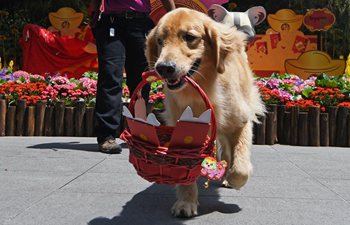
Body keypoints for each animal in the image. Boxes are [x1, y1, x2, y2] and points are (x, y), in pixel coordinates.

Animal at [144, 7, 262, 217]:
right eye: (159, 40)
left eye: (189, 37)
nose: (163, 68)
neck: (204, 87)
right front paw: (186, 202)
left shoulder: (240, 121)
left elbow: (240, 167)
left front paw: (234, 179)